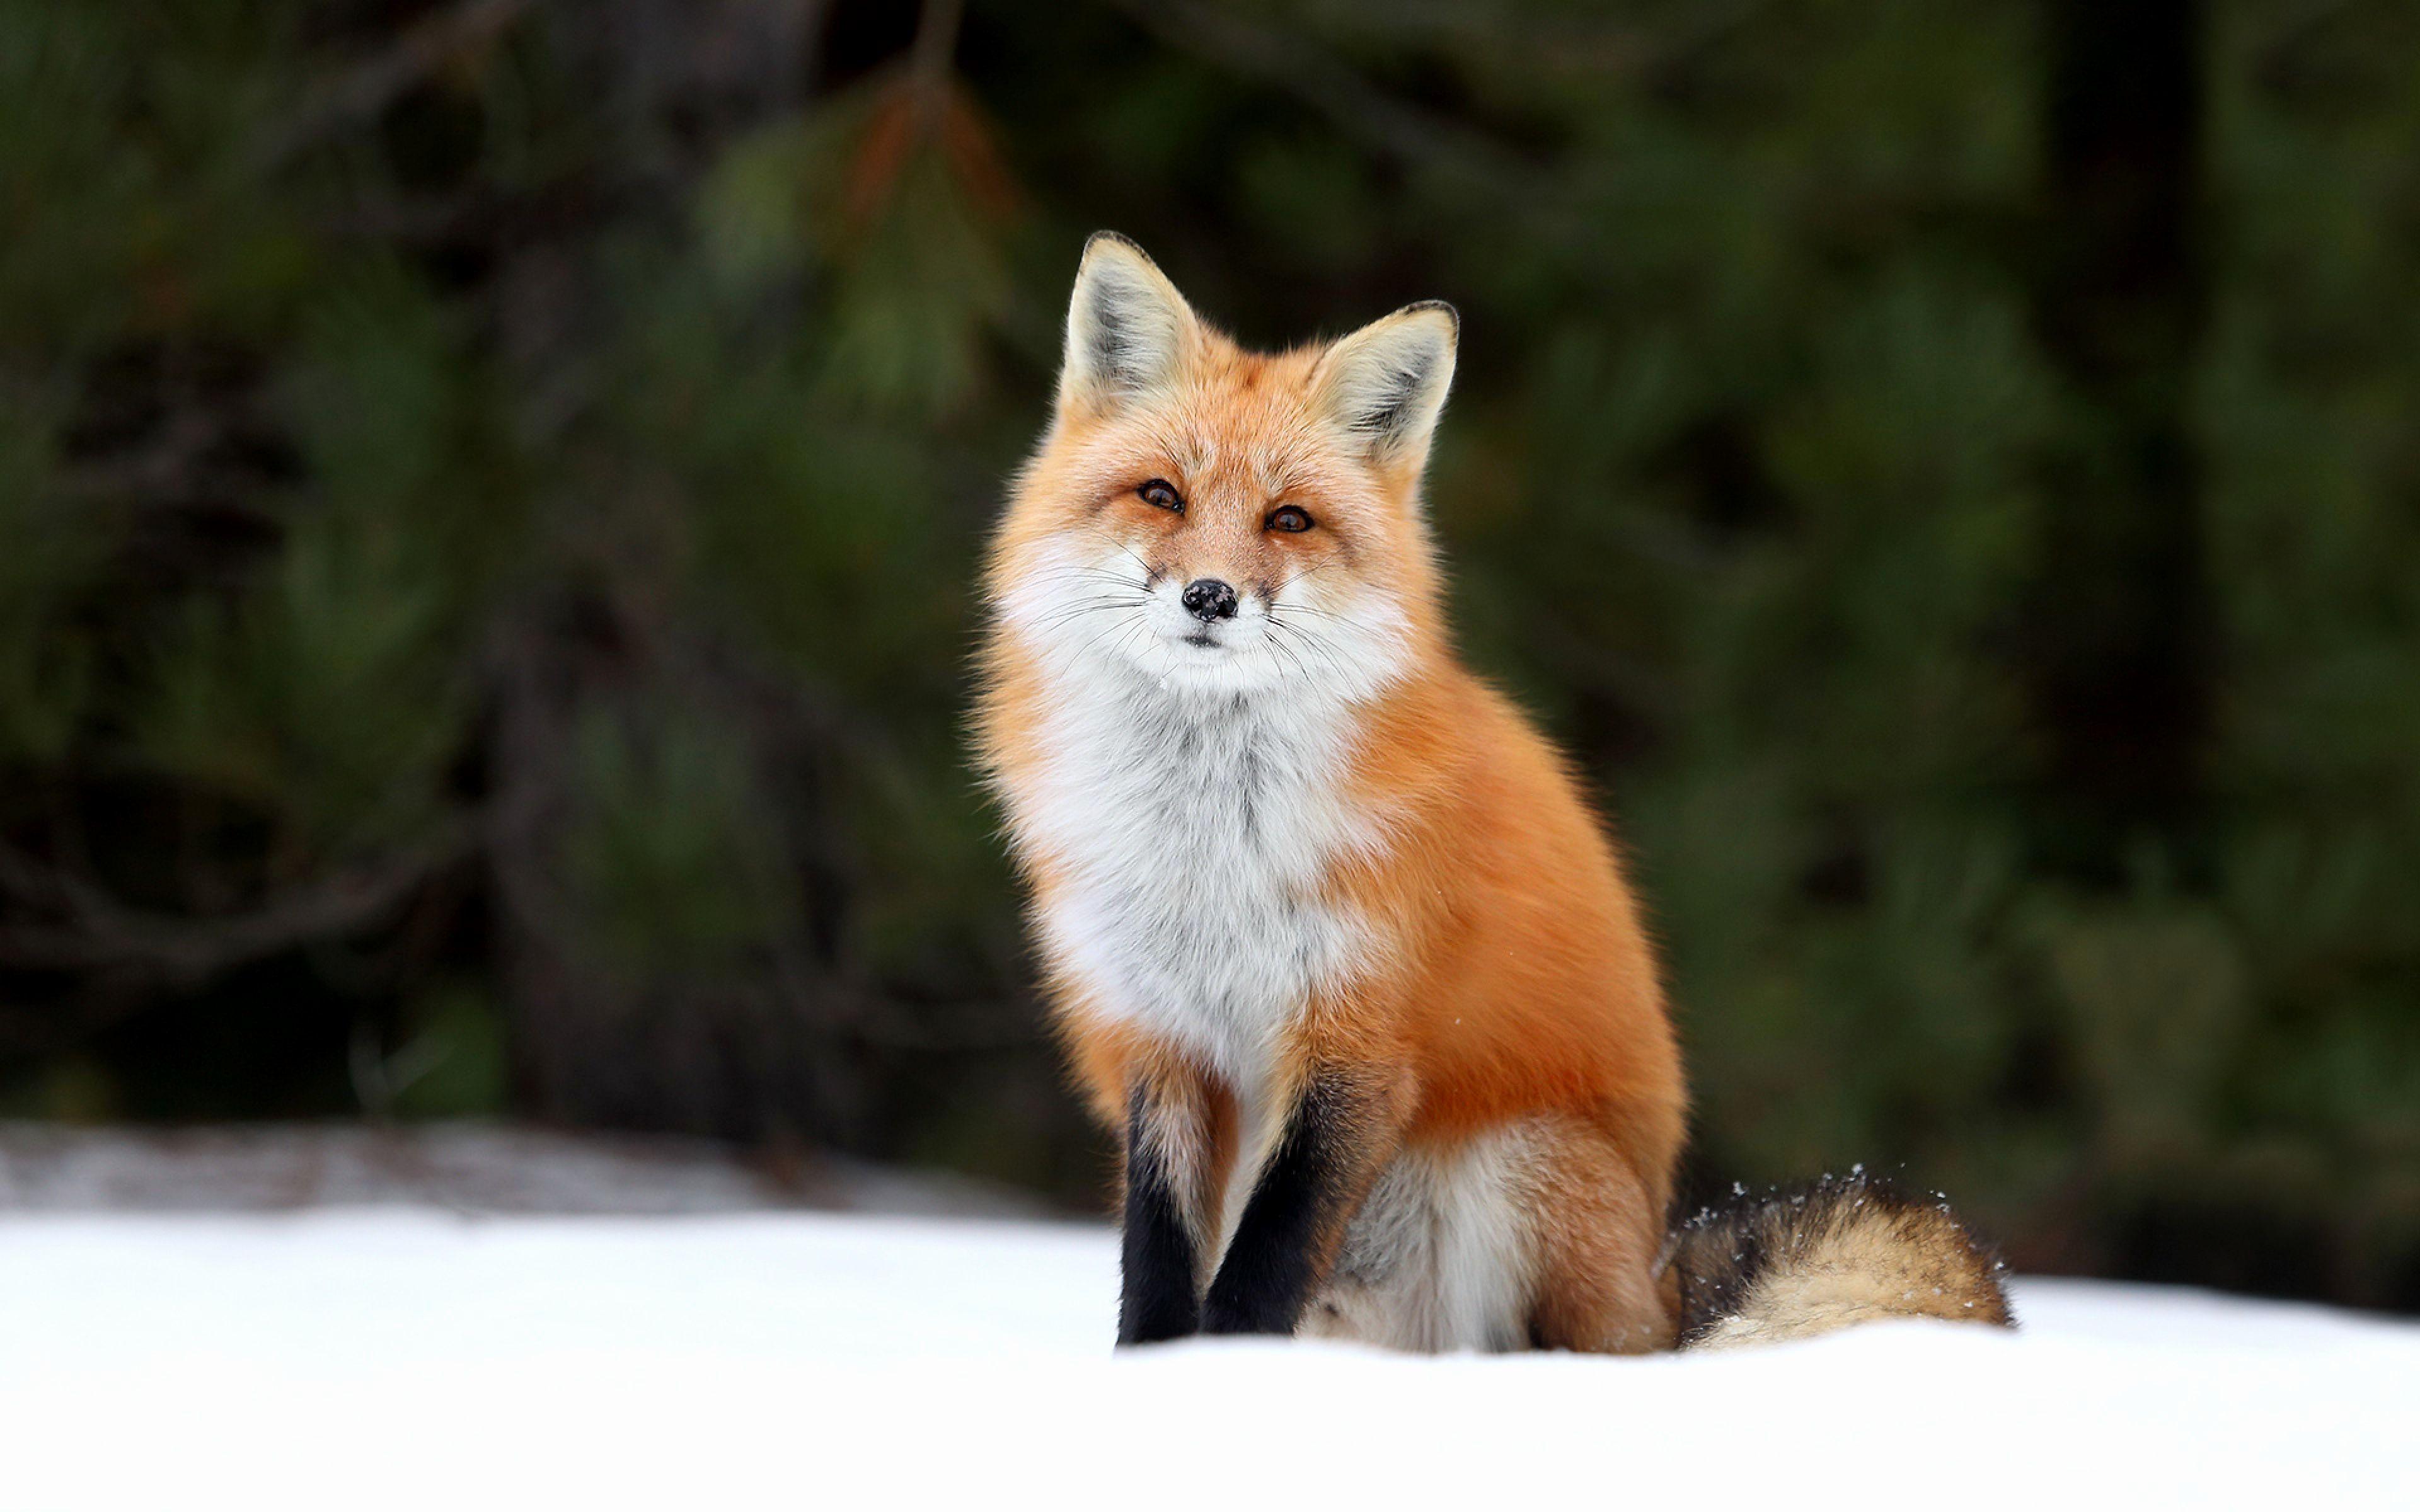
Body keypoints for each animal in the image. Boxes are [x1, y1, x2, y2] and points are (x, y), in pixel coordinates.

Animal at [975, 231, 2012, 1352]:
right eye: (1162, 495)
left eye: (1289, 519)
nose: (1211, 597)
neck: (1208, 850)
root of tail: (1661, 1280)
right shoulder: (1159, 1039)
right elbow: (1159, 1263)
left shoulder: (1356, 1040)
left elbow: (1264, 1263)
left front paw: (1236, 1368)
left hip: (1519, 1166)